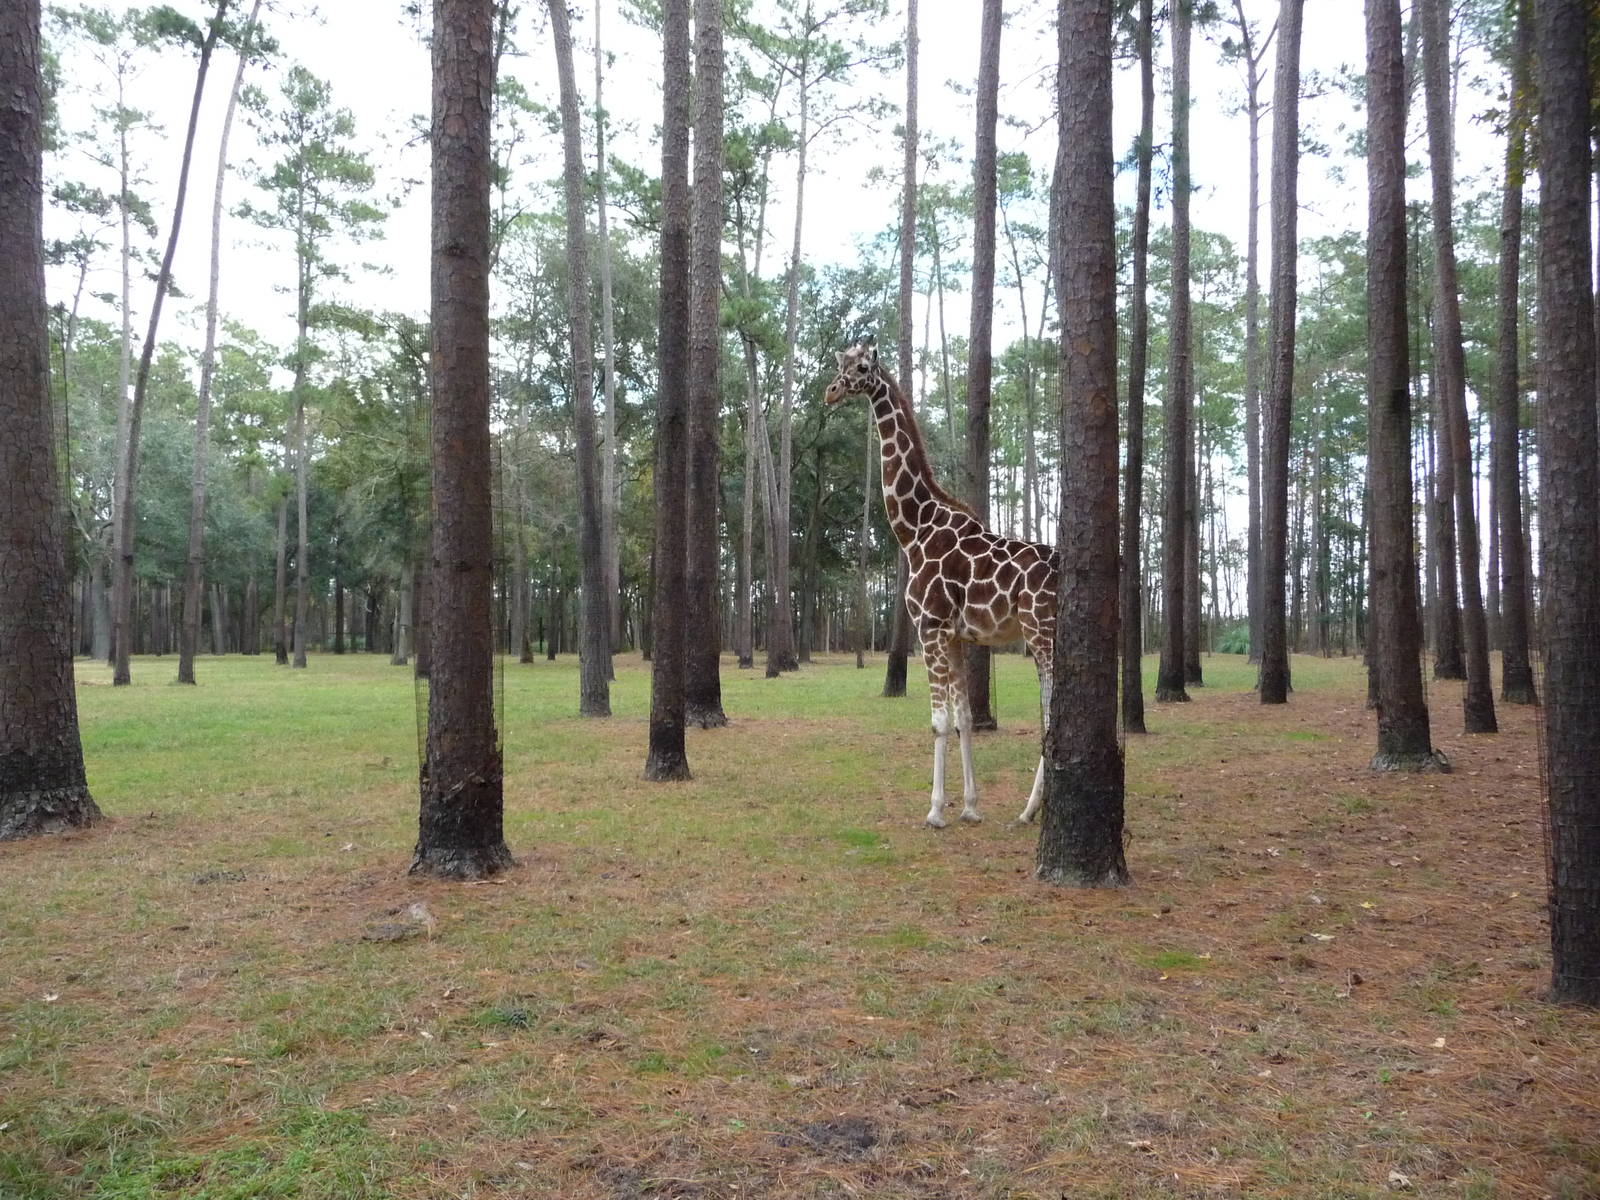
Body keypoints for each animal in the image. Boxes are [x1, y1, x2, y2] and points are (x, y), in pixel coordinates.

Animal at [824, 339, 1057, 828]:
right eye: (840, 365)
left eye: (862, 368)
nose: (830, 392)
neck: (914, 529)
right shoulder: (955, 635)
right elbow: (964, 717)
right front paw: (969, 806)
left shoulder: (928, 627)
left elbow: (937, 721)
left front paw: (935, 811)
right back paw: (1032, 808)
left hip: (1041, 633)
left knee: (1053, 712)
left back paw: (1030, 809)